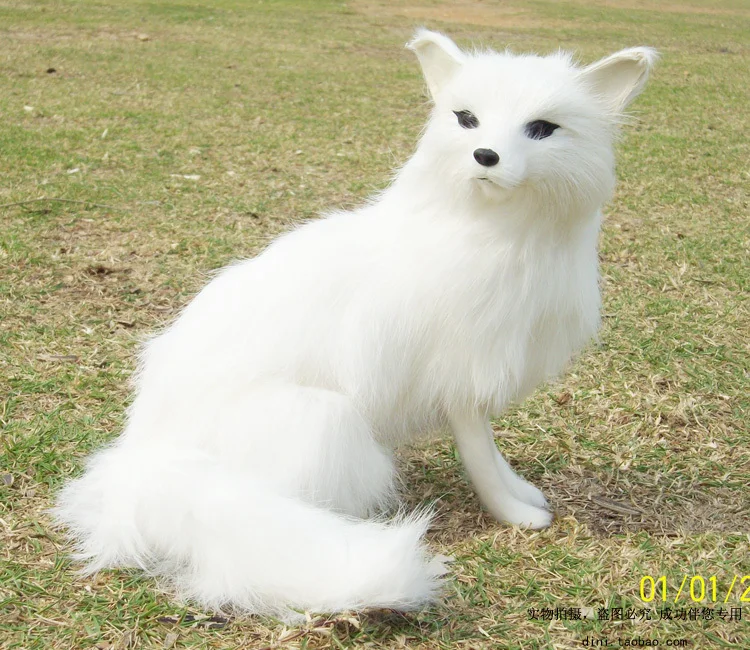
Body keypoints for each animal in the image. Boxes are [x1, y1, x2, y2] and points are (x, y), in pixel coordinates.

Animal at [54, 30, 656, 618]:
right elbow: (480, 455)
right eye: (466, 119)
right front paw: (516, 514)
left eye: (542, 129)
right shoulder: (464, 378)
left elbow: (493, 454)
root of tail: (148, 461)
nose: (485, 154)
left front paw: (524, 493)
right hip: (324, 420)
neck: (495, 232)